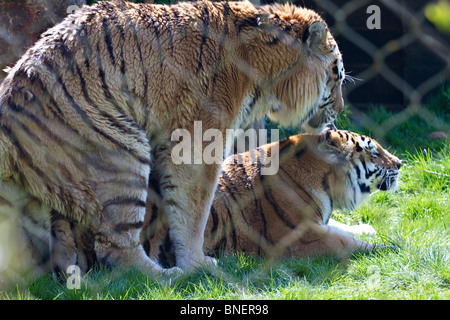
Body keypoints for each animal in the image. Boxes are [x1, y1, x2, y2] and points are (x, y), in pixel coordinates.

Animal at [0, 0, 348, 280]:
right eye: (337, 74)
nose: (342, 109)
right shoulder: (198, 141)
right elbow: (195, 211)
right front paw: (197, 264)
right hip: (121, 155)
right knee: (115, 246)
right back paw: (168, 277)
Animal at [143, 128, 400, 268]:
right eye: (374, 153)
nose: (399, 163)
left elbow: (341, 227)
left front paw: (367, 228)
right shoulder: (302, 238)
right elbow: (348, 242)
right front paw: (390, 247)